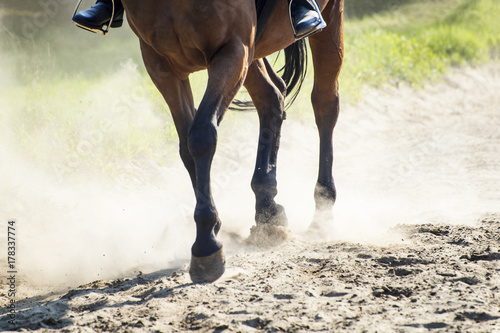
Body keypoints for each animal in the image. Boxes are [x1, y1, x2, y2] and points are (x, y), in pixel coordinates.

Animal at [121, 0, 344, 282]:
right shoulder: (161, 63)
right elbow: (186, 146)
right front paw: (214, 228)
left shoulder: (234, 48)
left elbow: (202, 134)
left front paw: (206, 243)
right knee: (272, 97)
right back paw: (267, 207)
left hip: (328, 17)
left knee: (325, 103)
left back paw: (322, 209)